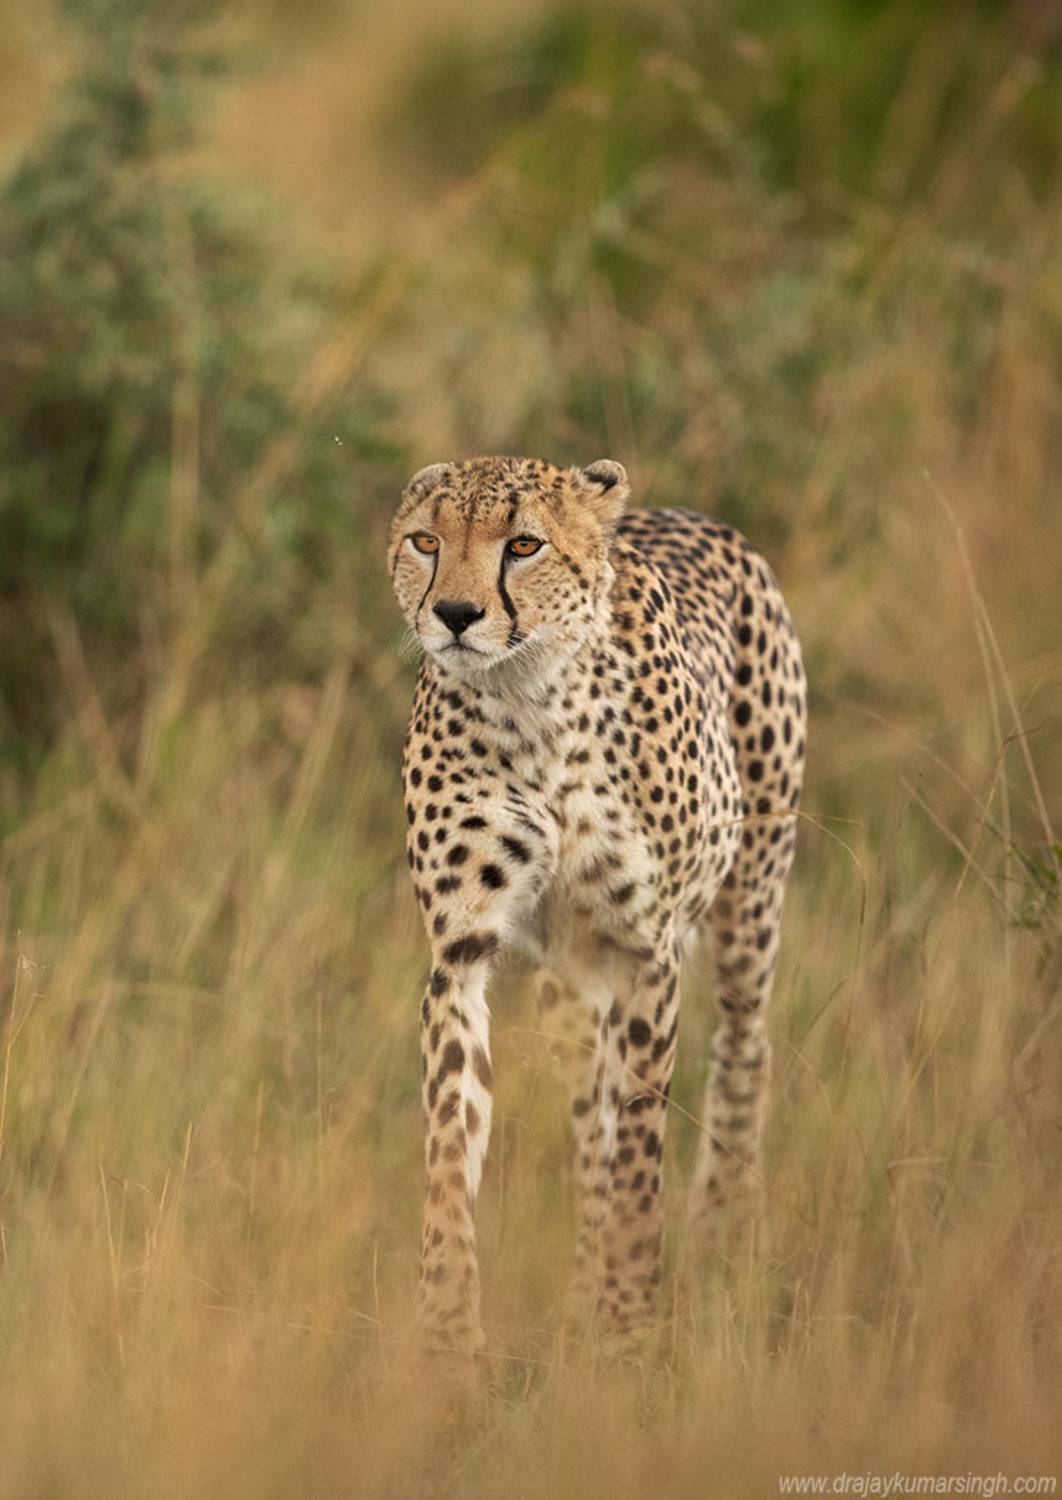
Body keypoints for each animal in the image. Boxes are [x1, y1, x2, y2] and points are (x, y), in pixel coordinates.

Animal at [388, 454, 806, 1356]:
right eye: (426, 541)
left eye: (524, 545)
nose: (455, 615)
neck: (531, 698)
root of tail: (685, 512)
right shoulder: (461, 949)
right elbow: (451, 1138)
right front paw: (447, 1325)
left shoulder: (649, 946)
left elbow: (643, 1139)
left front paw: (630, 1310)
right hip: (571, 985)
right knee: (590, 1113)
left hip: (751, 901)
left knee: (744, 1047)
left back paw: (720, 1229)